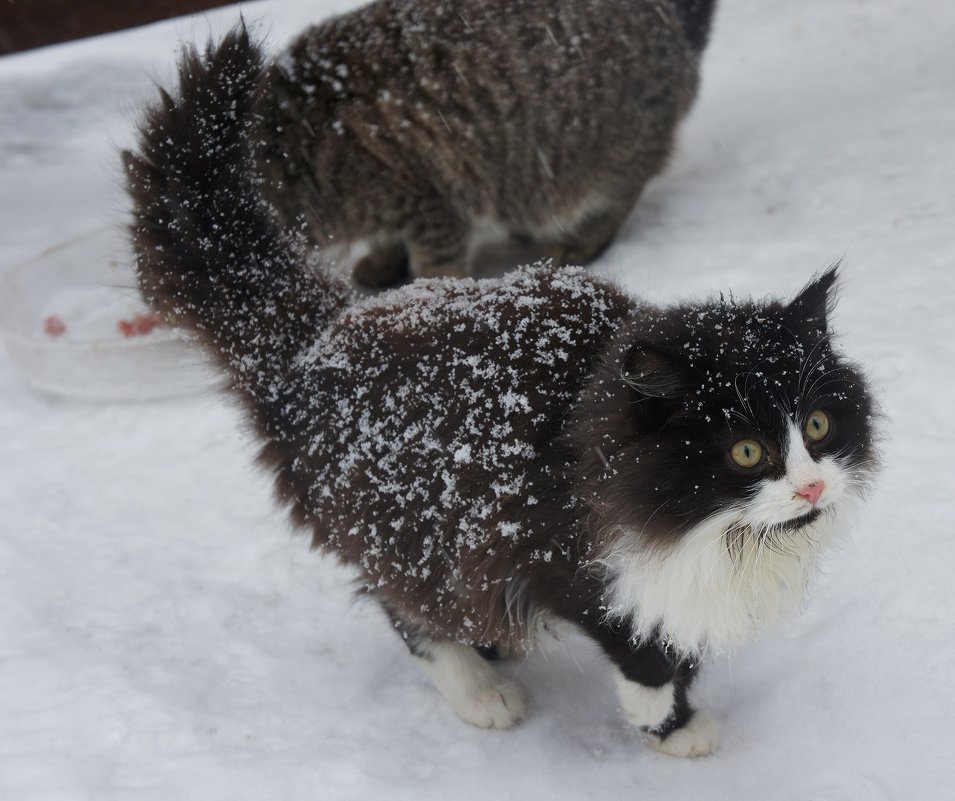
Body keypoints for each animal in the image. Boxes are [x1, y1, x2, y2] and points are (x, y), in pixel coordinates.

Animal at [127, 29, 880, 756]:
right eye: (747, 451)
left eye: (817, 426)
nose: (811, 486)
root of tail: (321, 333)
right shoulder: (558, 550)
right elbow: (634, 642)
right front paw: (666, 723)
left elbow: (673, 630)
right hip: (409, 529)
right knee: (408, 610)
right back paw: (480, 687)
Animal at [258, 0, 720, 286]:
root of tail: (671, 24)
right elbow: (385, 241)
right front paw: (382, 263)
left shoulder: (429, 203)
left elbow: (438, 269)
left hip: (603, 162)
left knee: (618, 198)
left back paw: (577, 240)